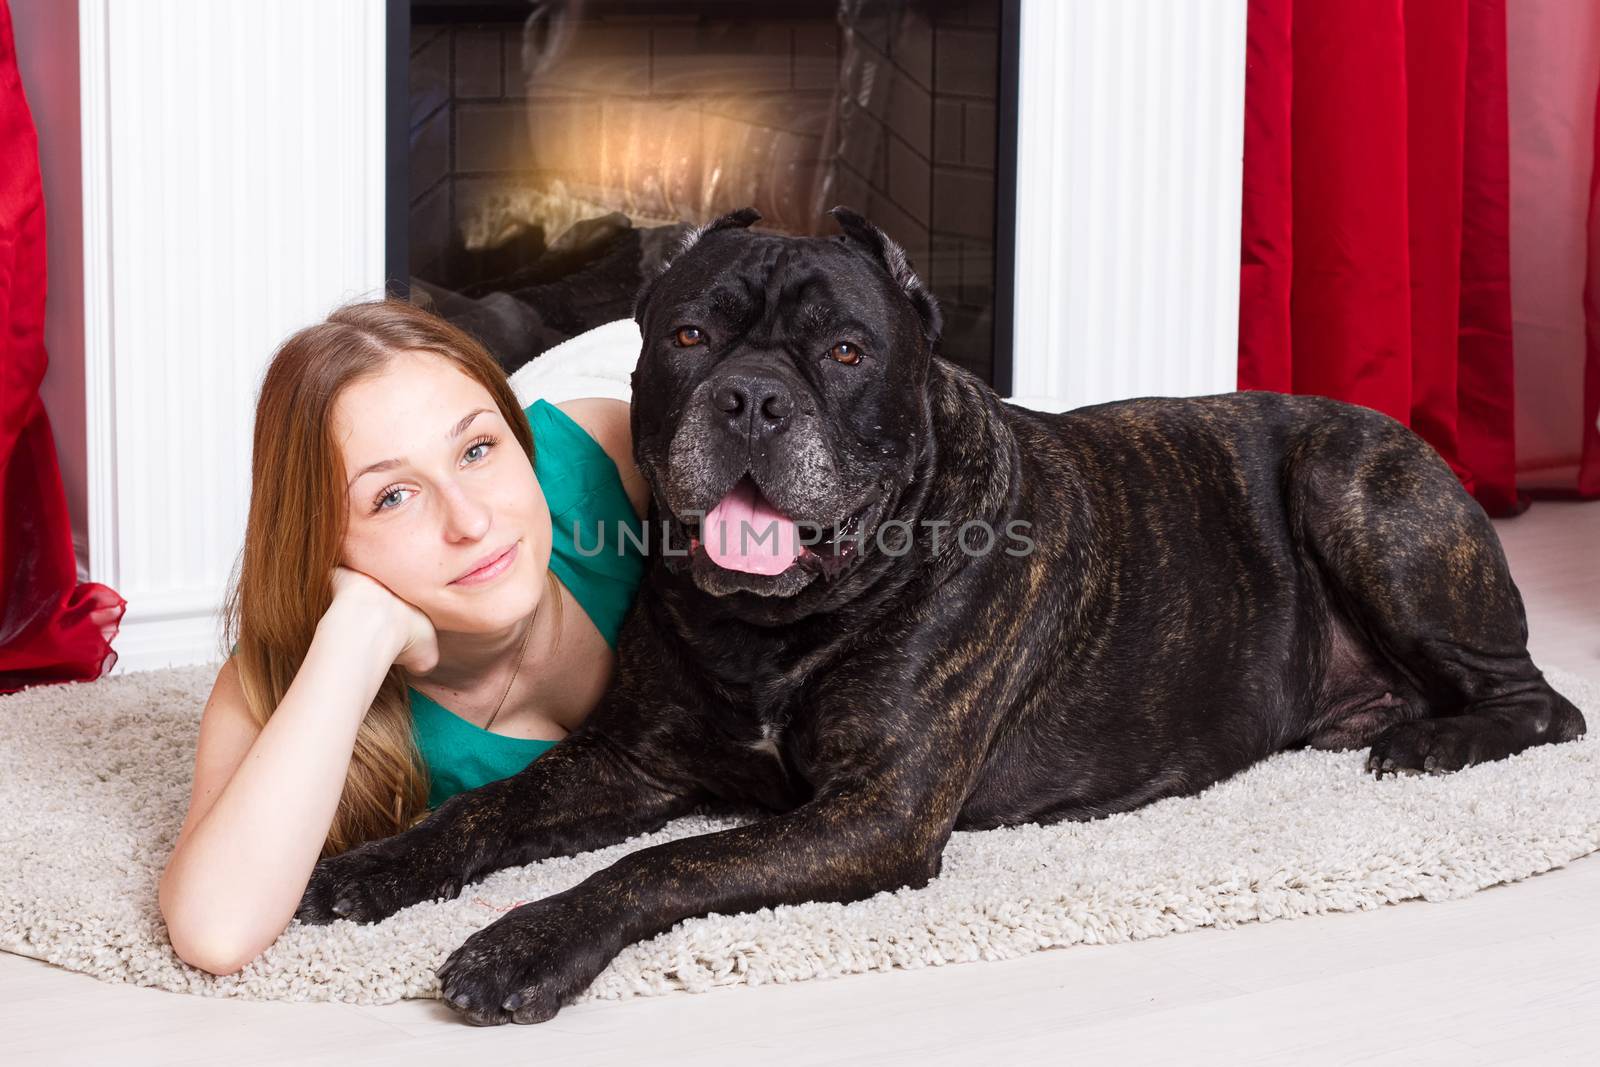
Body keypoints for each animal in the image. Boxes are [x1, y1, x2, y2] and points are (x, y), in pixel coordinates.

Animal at [297, 204, 1587, 1023]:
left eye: (846, 350)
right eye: (689, 335)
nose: (751, 396)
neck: (781, 622)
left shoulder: (873, 812)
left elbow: (661, 865)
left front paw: (520, 941)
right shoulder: (633, 757)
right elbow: (494, 807)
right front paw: (374, 866)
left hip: (1347, 482)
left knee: (1544, 702)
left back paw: (1433, 741)